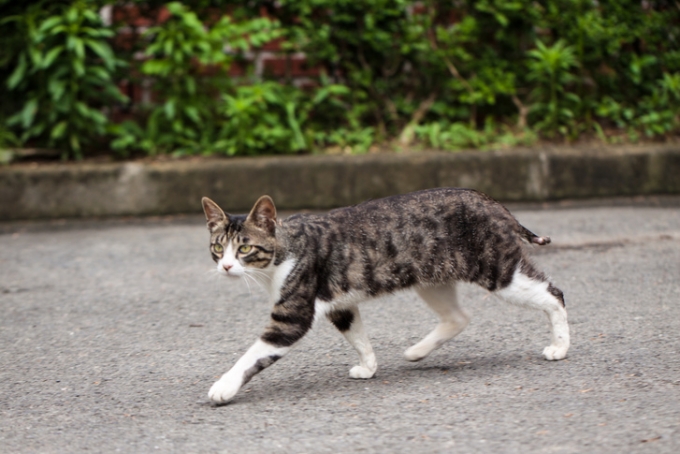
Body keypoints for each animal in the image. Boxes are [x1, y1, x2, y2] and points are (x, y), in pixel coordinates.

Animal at [201, 188, 568, 404]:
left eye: (245, 248)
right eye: (218, 248)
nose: (226, 266)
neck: (283, 252)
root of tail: (491, 201)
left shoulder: (293, 315)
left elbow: (252, 355)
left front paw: (224, 387)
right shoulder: (342, 305)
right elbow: (359, 337)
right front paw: (369, 367)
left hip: (499, 272)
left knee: (554, 294)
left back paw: (560, 347)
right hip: (432, 280)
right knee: (459, 317)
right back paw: (418, 351)